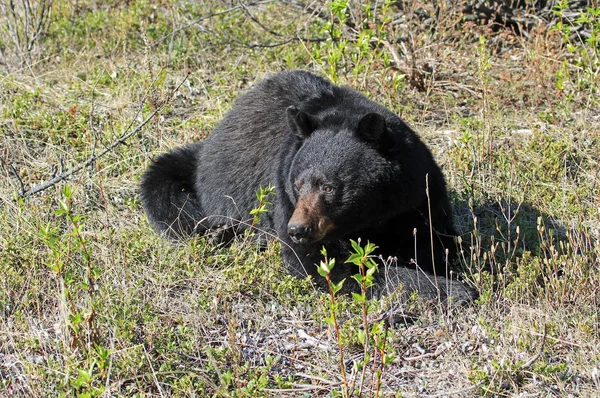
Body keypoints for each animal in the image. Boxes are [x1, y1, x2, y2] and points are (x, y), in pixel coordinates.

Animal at [141, 70, 478, 302]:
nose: (297, 230)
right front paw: (452, 289)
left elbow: (438, 240)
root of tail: (207, 145)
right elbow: (327, 266)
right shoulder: (284, 197)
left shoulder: (418, 196)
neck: (374, 215)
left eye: (328, 187)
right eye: (298, 183)